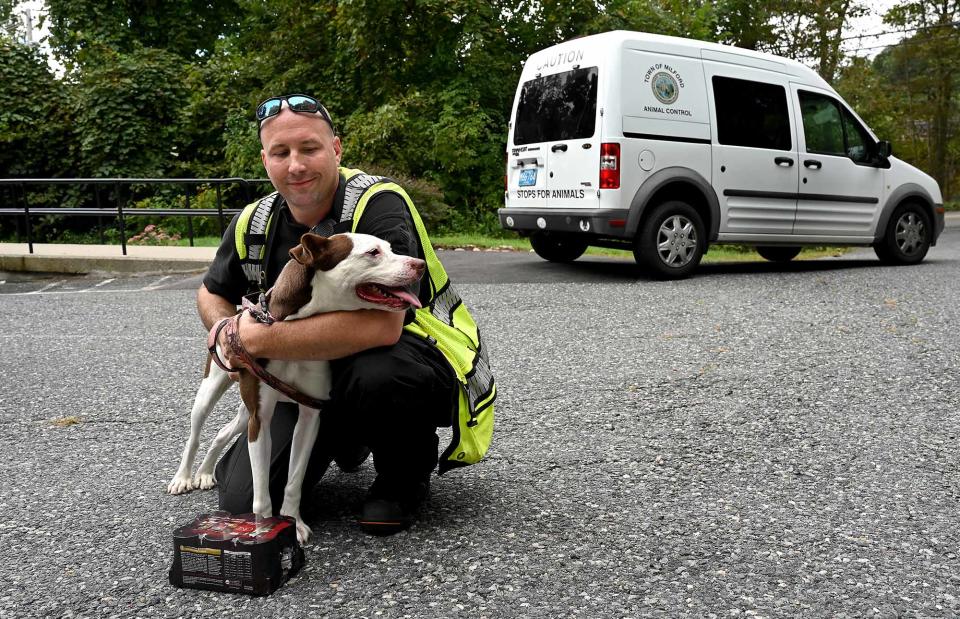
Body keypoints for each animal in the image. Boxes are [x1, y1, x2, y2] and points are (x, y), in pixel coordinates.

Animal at [168, 232, 424, 544]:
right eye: (373, 252)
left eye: (390, 248)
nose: (420, 264)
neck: (290, 323)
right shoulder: (260, 421)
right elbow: (260, 492)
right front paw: (264, 527)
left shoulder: (309, 415)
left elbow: (294, 480)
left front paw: (294, 522)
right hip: (211, 392)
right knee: (194, 435)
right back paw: (183, 477)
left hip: (245, 412)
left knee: (222, 433)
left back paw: (205, 473)